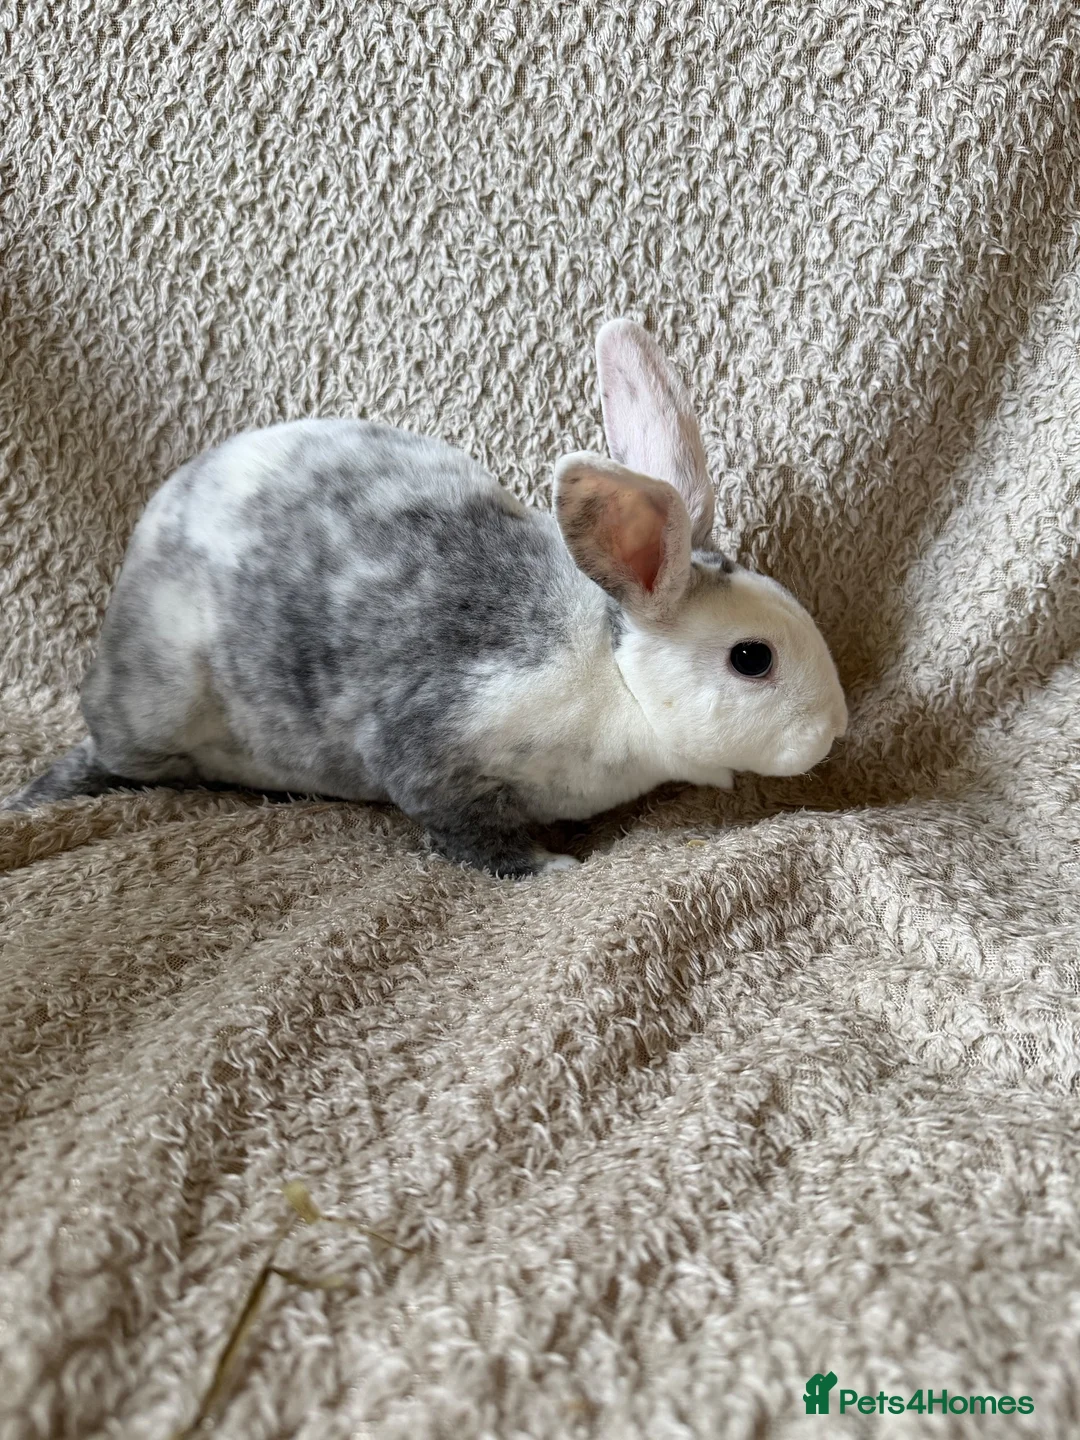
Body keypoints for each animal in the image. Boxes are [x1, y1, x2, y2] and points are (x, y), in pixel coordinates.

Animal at [1, 319, 848, 876]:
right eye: (751, 659)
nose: (835, 731)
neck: (615, 675)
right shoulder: (433, 747)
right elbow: (464, 830)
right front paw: (547, 867)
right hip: (155, 707)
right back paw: (41, 797)